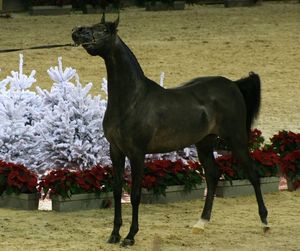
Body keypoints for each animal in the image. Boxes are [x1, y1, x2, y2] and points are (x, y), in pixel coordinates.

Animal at [72, 14, 270, 246]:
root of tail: (233, 85)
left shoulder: (137, 154)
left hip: (236, 140)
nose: (77, 32)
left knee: (253, 173)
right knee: (213, 175)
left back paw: (265, 222)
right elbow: (117, 190)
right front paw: (114, 234)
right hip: (205, 142)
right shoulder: (116, 151)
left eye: (103, 30)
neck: (132, 100)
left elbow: (136, 194)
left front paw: (130, 236)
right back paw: (201, 223)